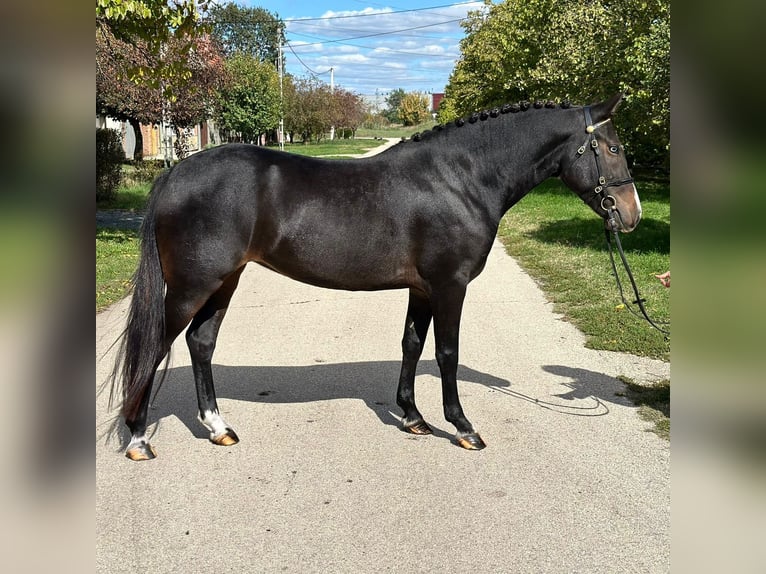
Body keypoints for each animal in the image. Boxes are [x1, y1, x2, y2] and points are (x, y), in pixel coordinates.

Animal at [111, 94, 644, 464]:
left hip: (225, 281)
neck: (461, 178)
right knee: (156, 346)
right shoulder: (449, 286)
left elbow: (412, 344)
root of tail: (176, 172)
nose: (632, 215)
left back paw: (218, 427)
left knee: (201, 343)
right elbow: (447, 353)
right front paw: (462, 427)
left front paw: (413, 418)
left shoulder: (422, 289)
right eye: (613, 147)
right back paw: (138, 437)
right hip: (192, 286)